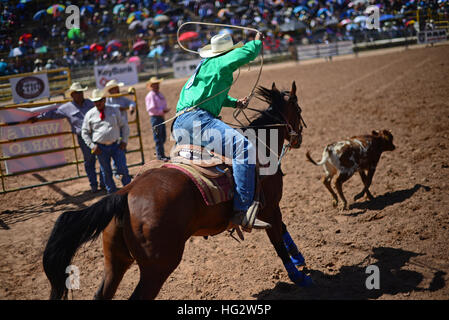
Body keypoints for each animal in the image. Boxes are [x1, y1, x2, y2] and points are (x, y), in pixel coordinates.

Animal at [43, 82, 312, 300]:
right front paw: (299, 276)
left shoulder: (270, 209)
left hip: (116, 261)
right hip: (158, 266)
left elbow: (283, 231)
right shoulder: (270, 207)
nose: (299, 138)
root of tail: (125, 194)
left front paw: (299, 258)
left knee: (103, 293)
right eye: (298, 110)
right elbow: (278, 240)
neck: (260, 147)